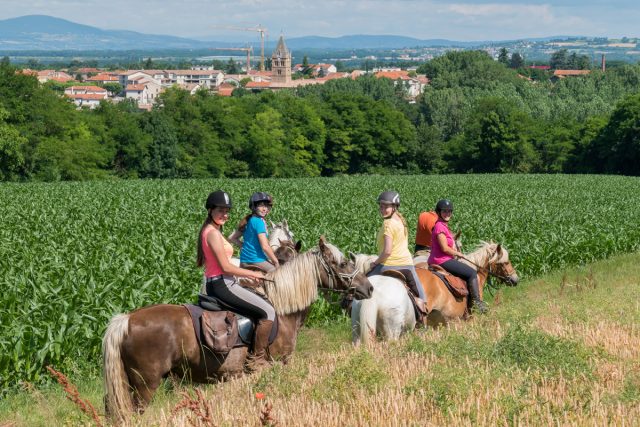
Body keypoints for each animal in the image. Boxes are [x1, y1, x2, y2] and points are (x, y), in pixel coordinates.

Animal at [102, 237, 372, 422]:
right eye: (343, 263)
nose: (368, 288)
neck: (282, 308)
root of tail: (127, 319)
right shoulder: (279, 363)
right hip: (145, 386)